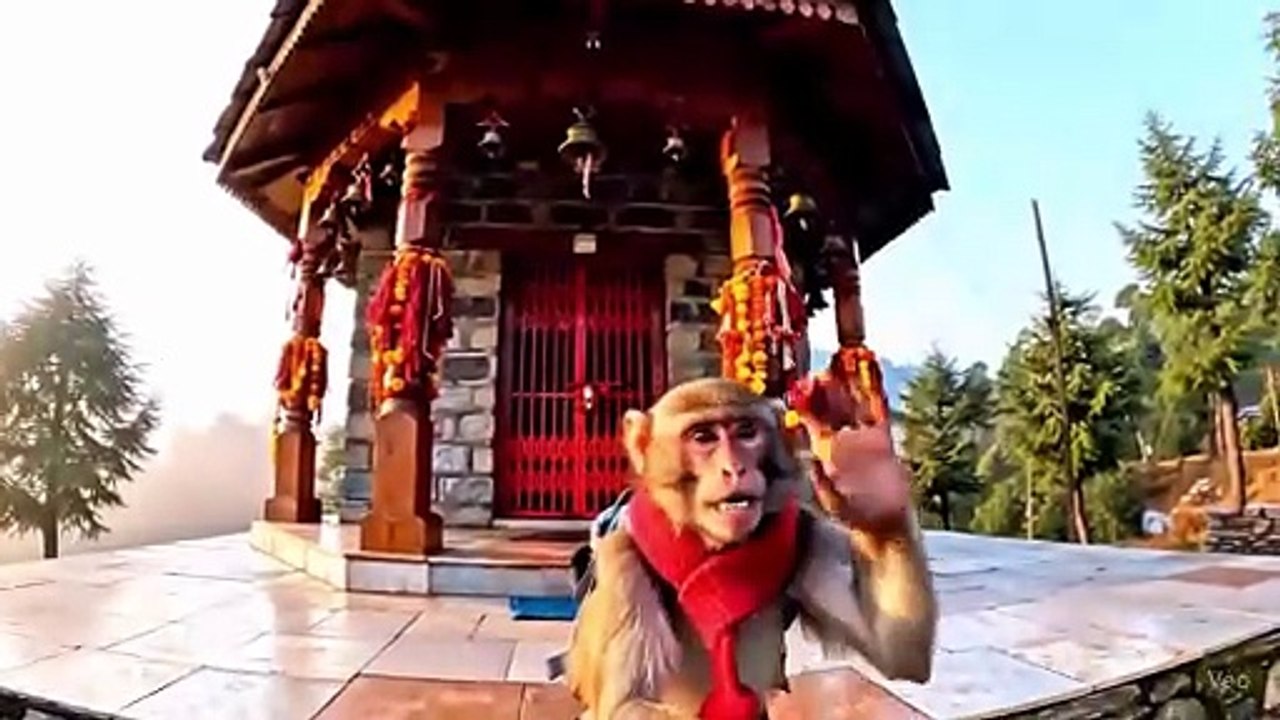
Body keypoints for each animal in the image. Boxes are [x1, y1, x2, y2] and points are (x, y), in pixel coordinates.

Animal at [562, 376, 938, 720]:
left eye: (745, 432)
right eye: (703, 437)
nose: (735, 468)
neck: (715, 554)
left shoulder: (804, 534)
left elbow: (897, 649)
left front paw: (869, 478)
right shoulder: (621, 558)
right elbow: (626, 705)